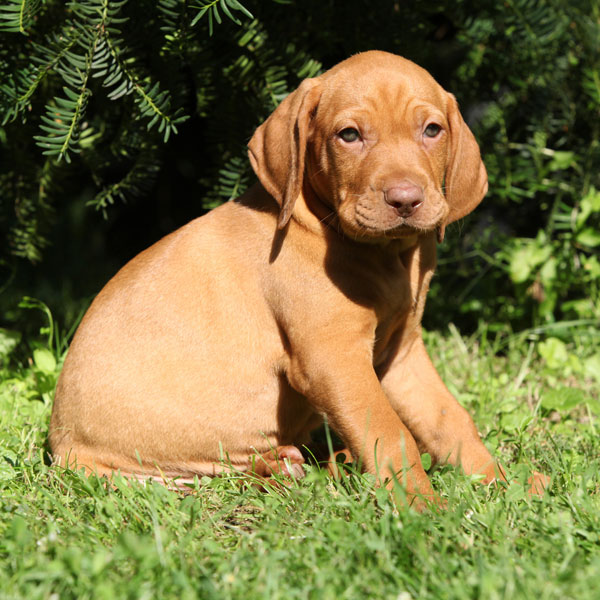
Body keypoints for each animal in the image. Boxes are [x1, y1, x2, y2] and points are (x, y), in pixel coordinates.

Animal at [50, 51, 548, 508]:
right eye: (349, 135)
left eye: (431, 130)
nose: (405, 199)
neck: (382, 256)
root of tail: (59, 446)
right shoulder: (334, 360)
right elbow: (392, 432)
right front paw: (422, 507)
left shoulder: (401, 353)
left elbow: (450, 419)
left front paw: (506, 483)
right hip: (146, 470)